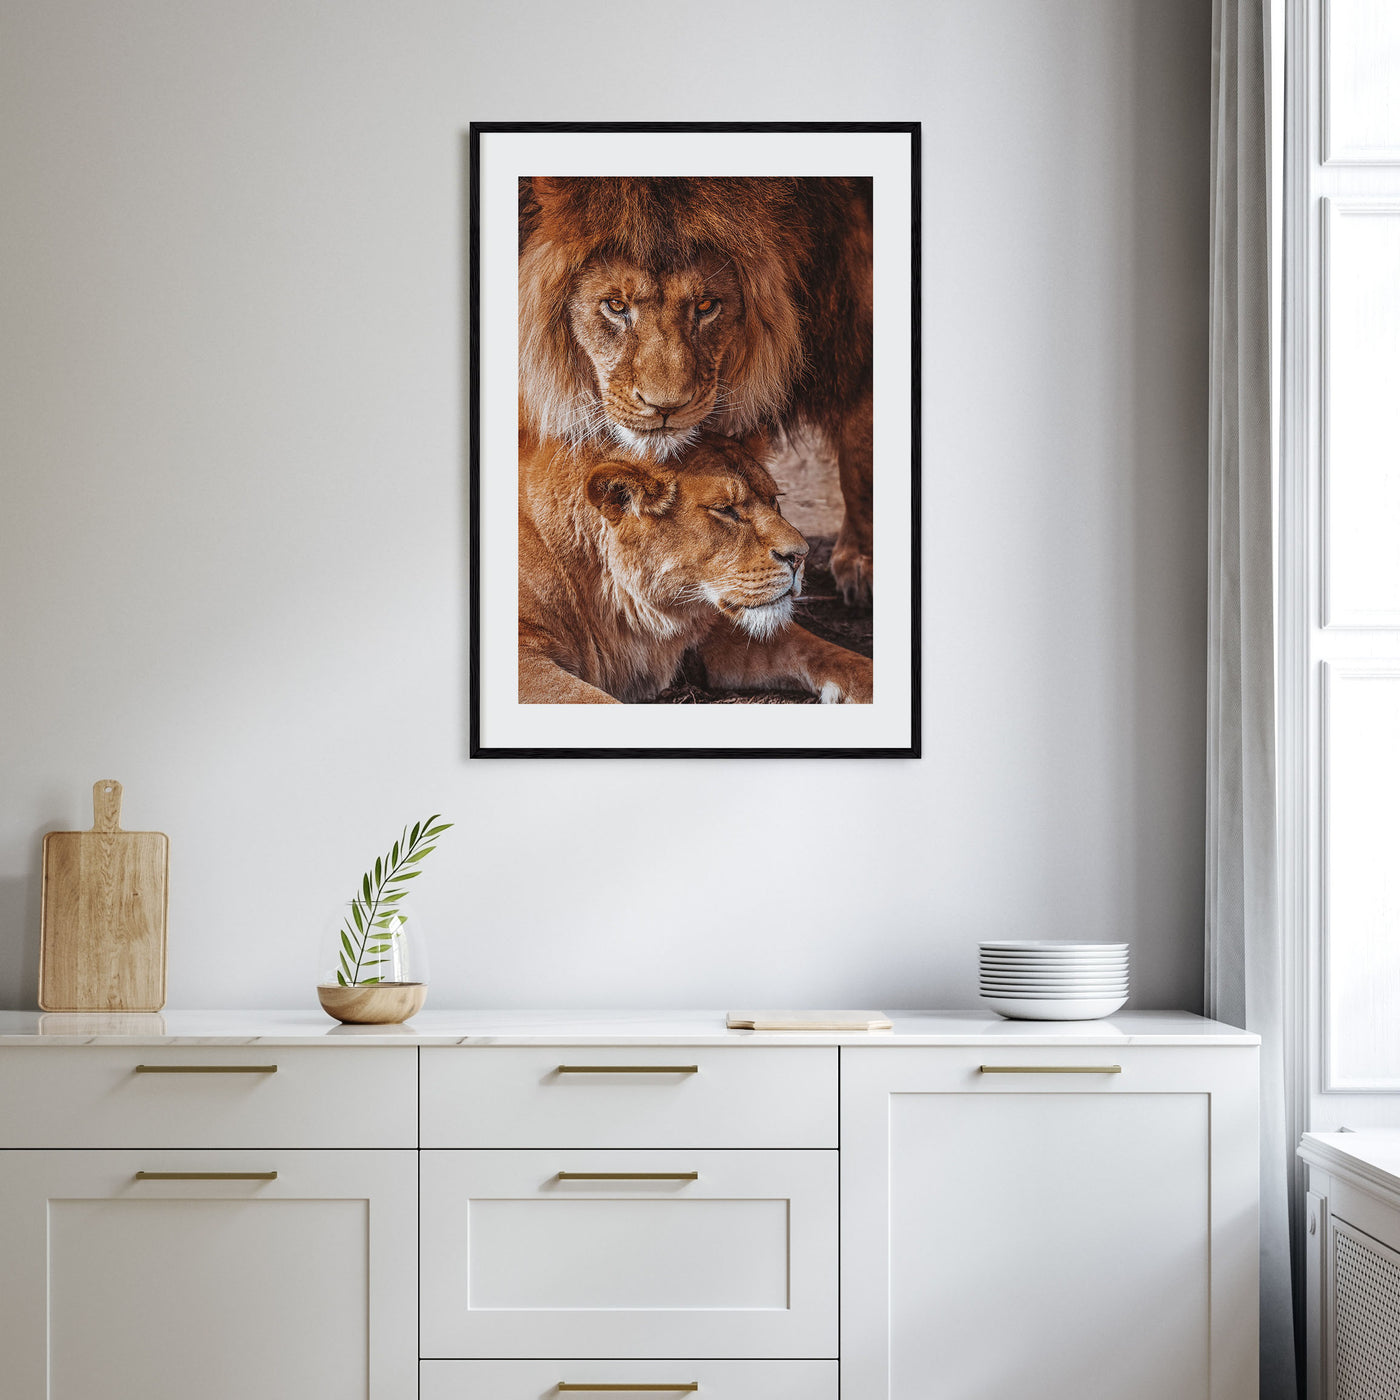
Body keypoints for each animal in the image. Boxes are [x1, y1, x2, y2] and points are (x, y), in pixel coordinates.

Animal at [519, 431, 873, 705]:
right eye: (725, 510)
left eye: (774, 500)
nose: (801, 556)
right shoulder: (526, 658)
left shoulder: (714, 629)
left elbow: (826, 652)